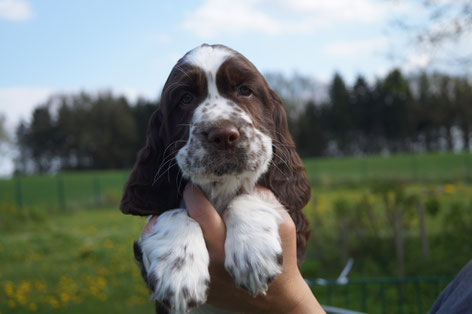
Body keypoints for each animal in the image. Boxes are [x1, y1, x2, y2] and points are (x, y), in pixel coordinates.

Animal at [120, 44, 312, 314]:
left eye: (245, 90)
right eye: (185, 98)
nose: (223, 134)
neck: (220, 188)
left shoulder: (297, 230)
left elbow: (251, 193)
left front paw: (254, 253)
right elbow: (171, 211)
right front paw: (178, 273)